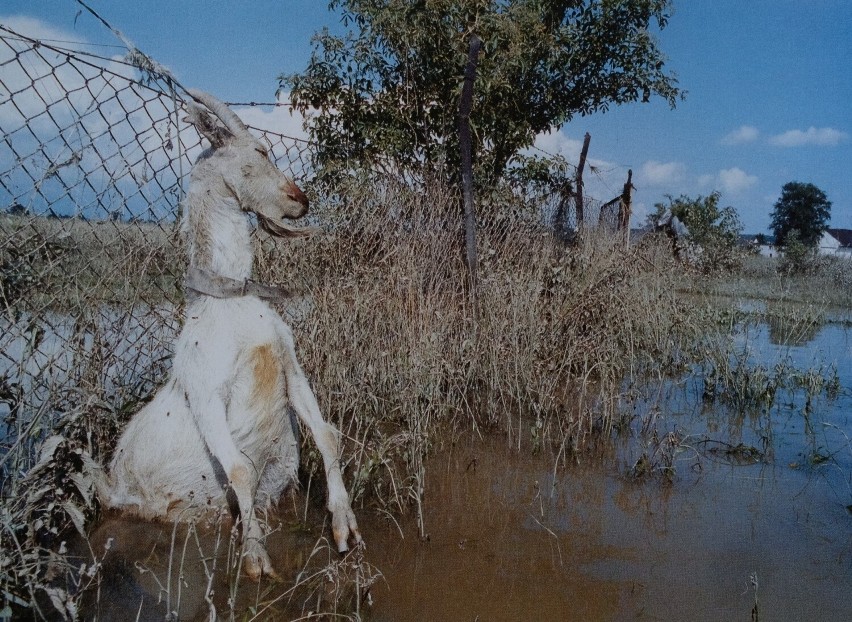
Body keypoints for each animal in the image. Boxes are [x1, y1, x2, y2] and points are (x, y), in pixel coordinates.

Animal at [97, 88, 362, 580]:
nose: (301, 199)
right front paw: (256, 558)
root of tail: (109, 479)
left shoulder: (291, 370)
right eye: (260, 150)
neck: (230, 300)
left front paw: (344, 525)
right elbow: (240, 469)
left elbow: (327, 434)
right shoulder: (206, 394)